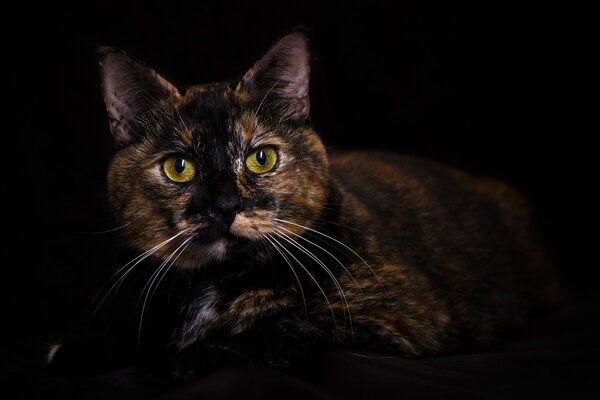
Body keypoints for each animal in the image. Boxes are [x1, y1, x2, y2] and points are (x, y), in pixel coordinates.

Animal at [47, 31, 556, 382]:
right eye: (179, 167)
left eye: (262, 157)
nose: (226, 204)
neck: (214, 284)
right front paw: (81, 349)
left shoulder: (398, 318)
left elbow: (274, 331)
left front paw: (175, 361)